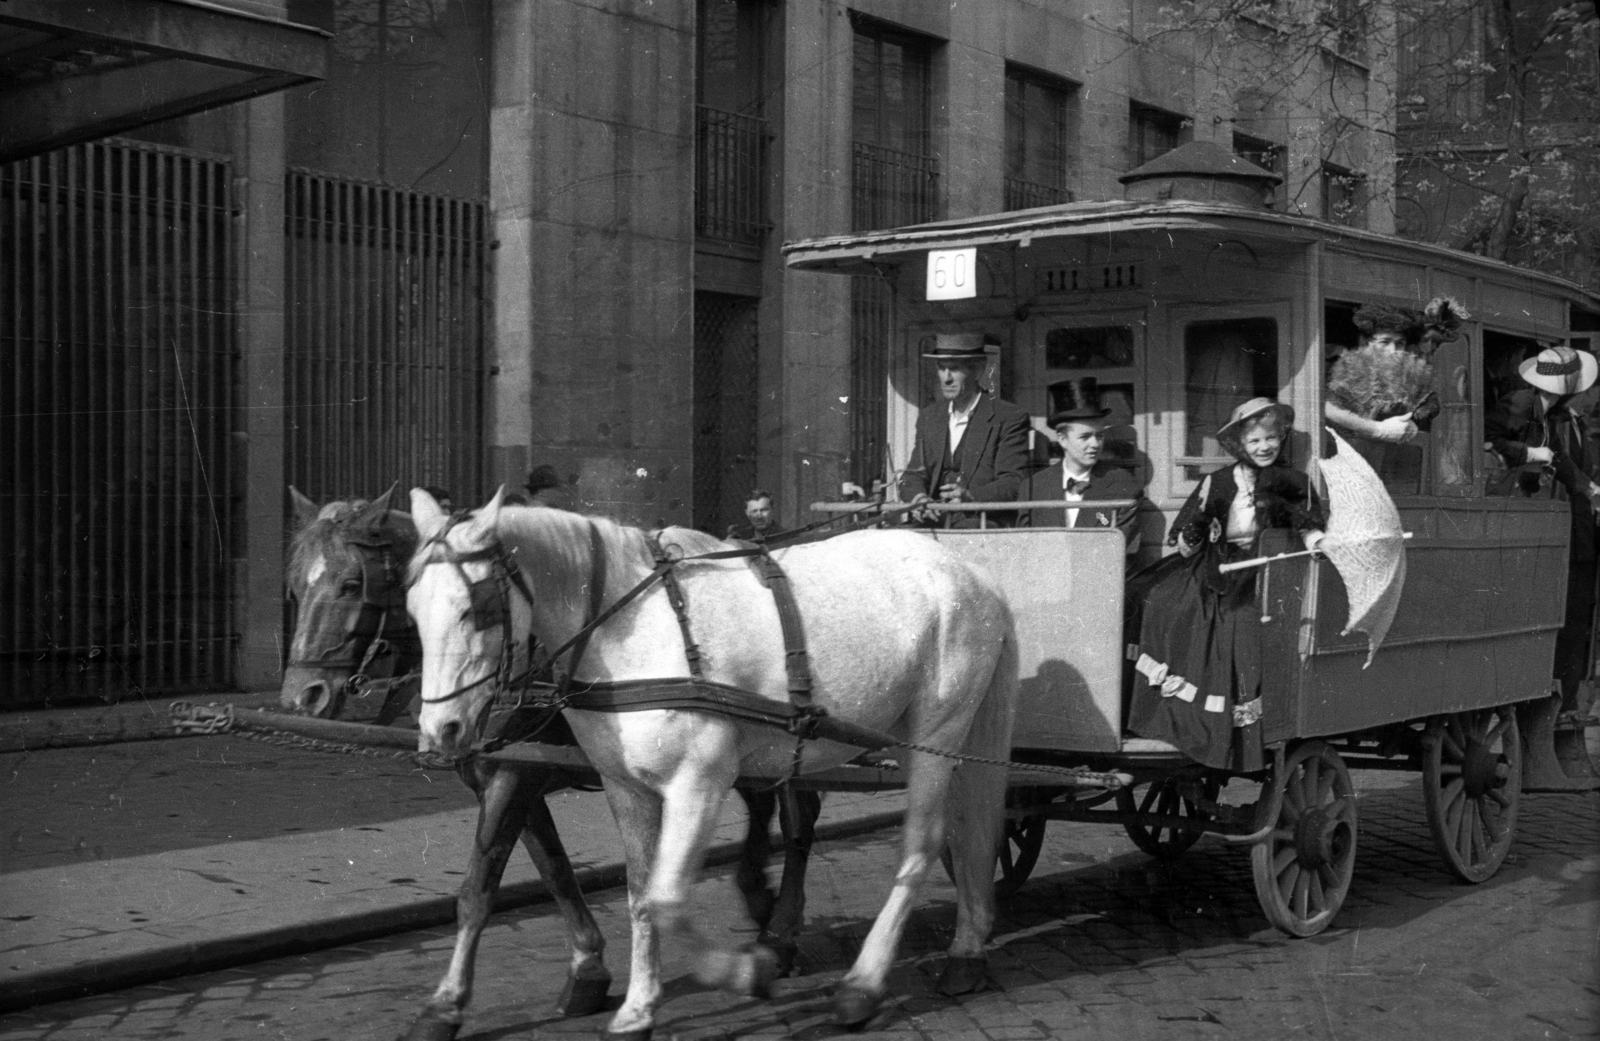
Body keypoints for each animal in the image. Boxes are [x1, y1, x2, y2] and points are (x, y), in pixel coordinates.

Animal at [406, 489, 1017, 1041]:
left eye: (476, 608)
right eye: (412, 610)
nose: (441, 732)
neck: (632, 630)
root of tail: (974, 574)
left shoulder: (697, 784)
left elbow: (667, 900)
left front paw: (744, 972)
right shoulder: (623, 787)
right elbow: (637, 895)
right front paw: (636, 1008)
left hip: (937, 730)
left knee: (924, 842)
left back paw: (869, 982)